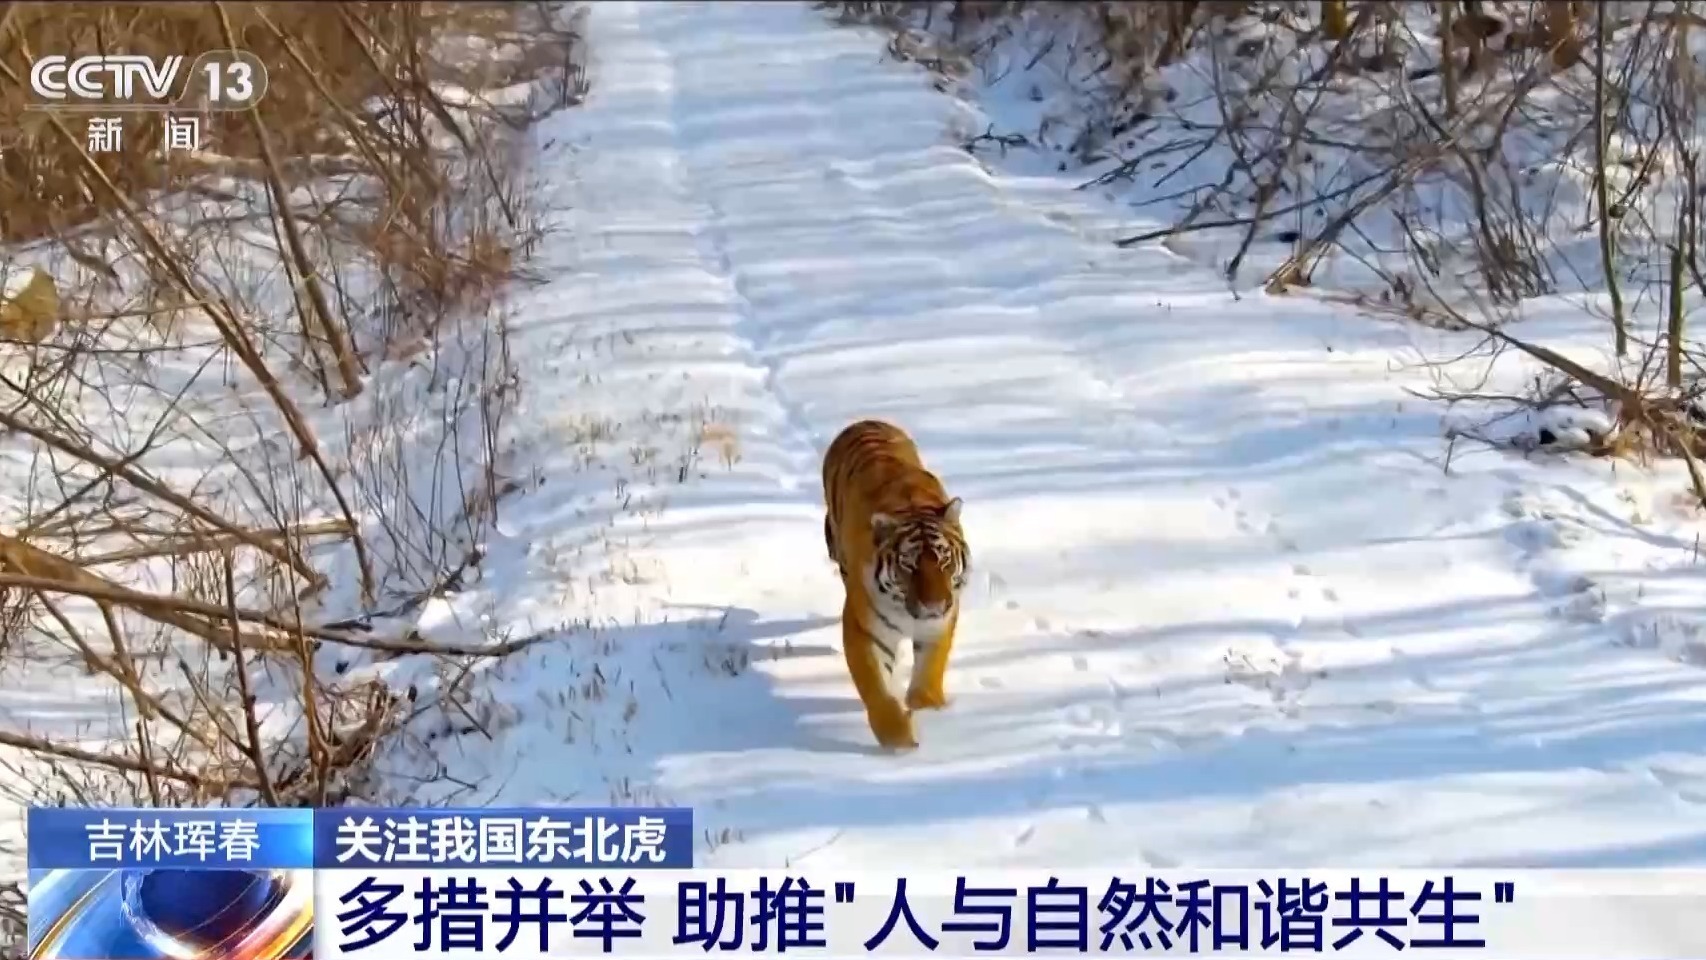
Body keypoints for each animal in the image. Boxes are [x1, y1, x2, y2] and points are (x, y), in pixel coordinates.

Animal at [821, 418, 969, 751]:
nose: (934, 605)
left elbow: (930, 670)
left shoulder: (940, 623)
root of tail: (864, 420)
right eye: (908, 565)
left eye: (944, 560)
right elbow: (876, 689)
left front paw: (926, 708)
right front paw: (900, 742)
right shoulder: (864, 628)